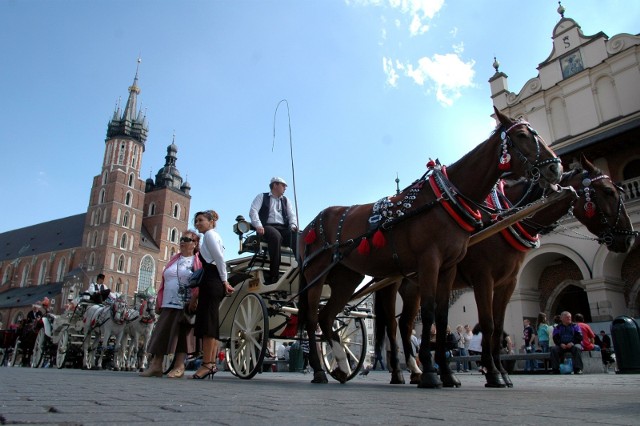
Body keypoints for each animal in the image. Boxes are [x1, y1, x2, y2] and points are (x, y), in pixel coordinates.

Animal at [298, 107, 564, 386]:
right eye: (522, 135)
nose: (555, 167)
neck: (444, 200)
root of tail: (311, 225)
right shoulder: (436, 264)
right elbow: (431, 314)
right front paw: (431, 372)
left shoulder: (451, 268)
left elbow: (443, 317)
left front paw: (447, 374)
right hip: (317, 275)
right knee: (314, 319)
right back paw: (321, 370)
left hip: (347, 278)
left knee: (329, 318)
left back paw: (341, 366)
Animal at [378, 156, 636, 386]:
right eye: (607, 191)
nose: (629, 238)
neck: (504, 218)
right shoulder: (483, 277)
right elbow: (488, 323)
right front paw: (493, 373)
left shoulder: (509, 282)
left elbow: (499, 326)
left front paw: (501, 372)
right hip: (393, 283)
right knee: (392, 325)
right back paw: (399, 373)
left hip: (414, 286)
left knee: (406, 325)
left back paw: (415, 371)